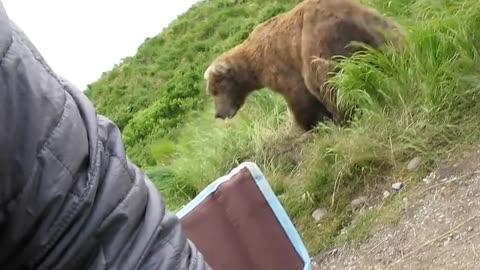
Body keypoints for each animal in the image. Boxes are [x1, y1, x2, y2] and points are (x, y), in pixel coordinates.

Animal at [203, 0, 404, 132]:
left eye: (216, 90)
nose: (218, 113)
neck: (254, 66)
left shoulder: (283, 67)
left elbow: (300, 97)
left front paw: (310, 124)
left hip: (319, 40)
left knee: (325, 82)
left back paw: (343, 117)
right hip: (378, 26)